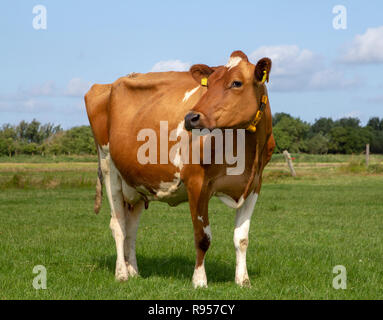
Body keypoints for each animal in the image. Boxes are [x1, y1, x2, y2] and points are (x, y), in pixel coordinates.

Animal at [85, 50, 274, 288]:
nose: (191, 118)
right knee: (118, 225)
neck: (245, 150)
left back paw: (134, 271)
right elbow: (202, 238)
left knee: (131, 229)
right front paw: (200, 281)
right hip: (109, 168)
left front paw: (243, 280)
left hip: (135, 183)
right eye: (208, 85)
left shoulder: (254, 184)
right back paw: (122, 273)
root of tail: (108, 84)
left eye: (236, 83)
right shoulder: (197, 183)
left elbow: (241, 238)